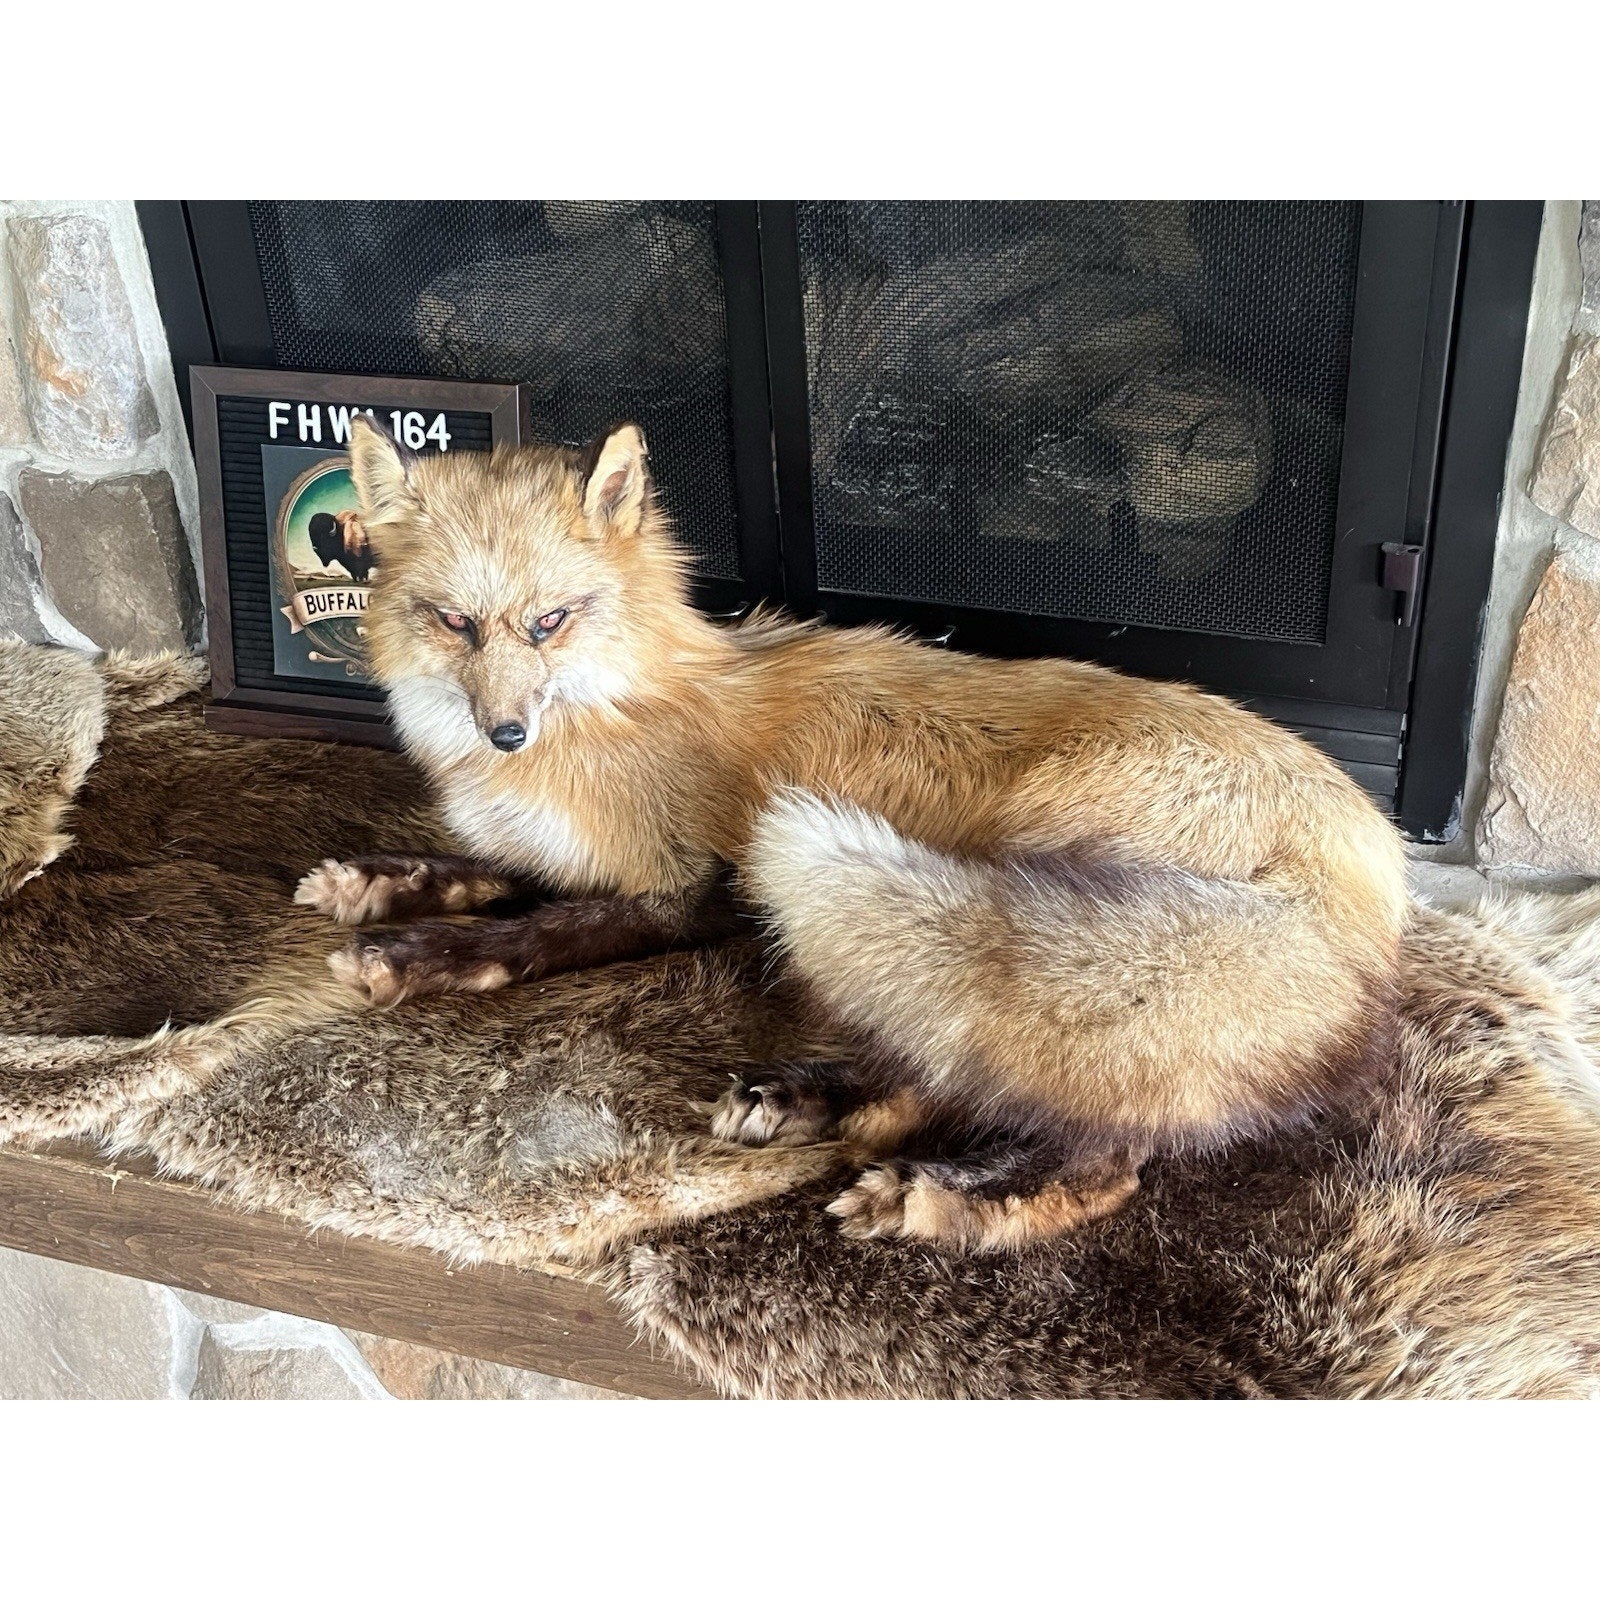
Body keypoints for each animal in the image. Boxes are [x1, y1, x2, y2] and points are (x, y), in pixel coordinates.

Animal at [294, 414, 1408, 1252]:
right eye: (454, 622)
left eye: (550, 621)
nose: (506, 732)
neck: (618, 711)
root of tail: (1378, 868)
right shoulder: (555, 848)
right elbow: (484, 869)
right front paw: (378, 885)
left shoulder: (697, 882)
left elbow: (540, 929)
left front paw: (419, 954)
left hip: (1008, 891)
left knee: (1079, 1139)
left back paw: (918, 1182)